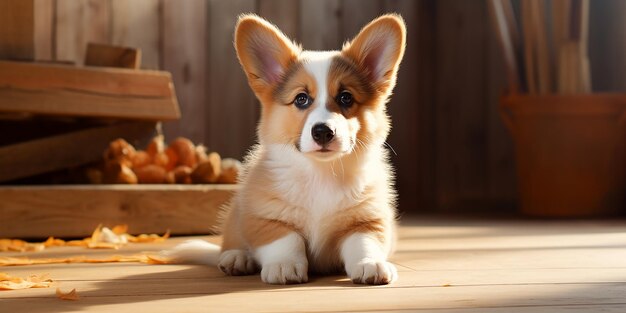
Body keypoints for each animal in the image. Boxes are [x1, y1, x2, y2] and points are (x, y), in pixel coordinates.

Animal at [167, 13, 404, 284]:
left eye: (346, 97)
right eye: (301, 99)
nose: (323, 132)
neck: (321, 173)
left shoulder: (368, 220)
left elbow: (364, 243)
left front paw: (371, 264)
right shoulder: (266, 216)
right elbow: (286, 240)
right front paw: (284, 266)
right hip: (234, 216)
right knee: (230, 242)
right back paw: (237, 258)